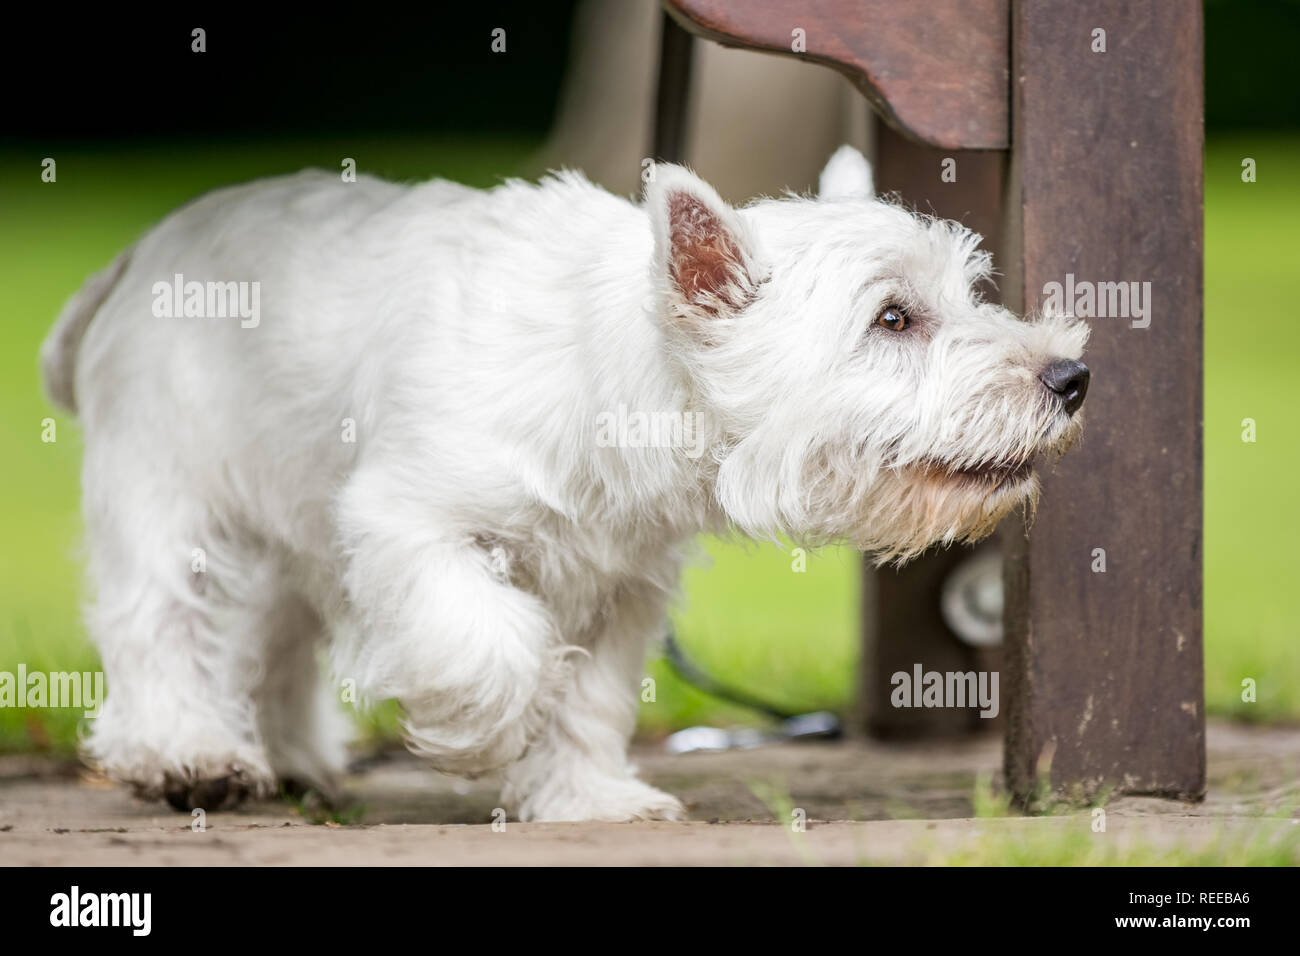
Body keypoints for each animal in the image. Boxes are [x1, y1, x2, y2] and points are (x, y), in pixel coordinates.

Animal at [38, 145, 1086, 816]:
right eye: (893, 319)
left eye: (968, 294)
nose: (1071, 377)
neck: (623, 385)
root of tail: (138, 256)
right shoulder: (405, 523)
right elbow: (490, 639)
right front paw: (477, 734)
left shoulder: (624, 584)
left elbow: (590, 698)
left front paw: (585, 798)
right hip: (173, 498)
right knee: (162, 624)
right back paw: (189, 755)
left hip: (283, 521)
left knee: (274, 641)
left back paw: (295, 760)